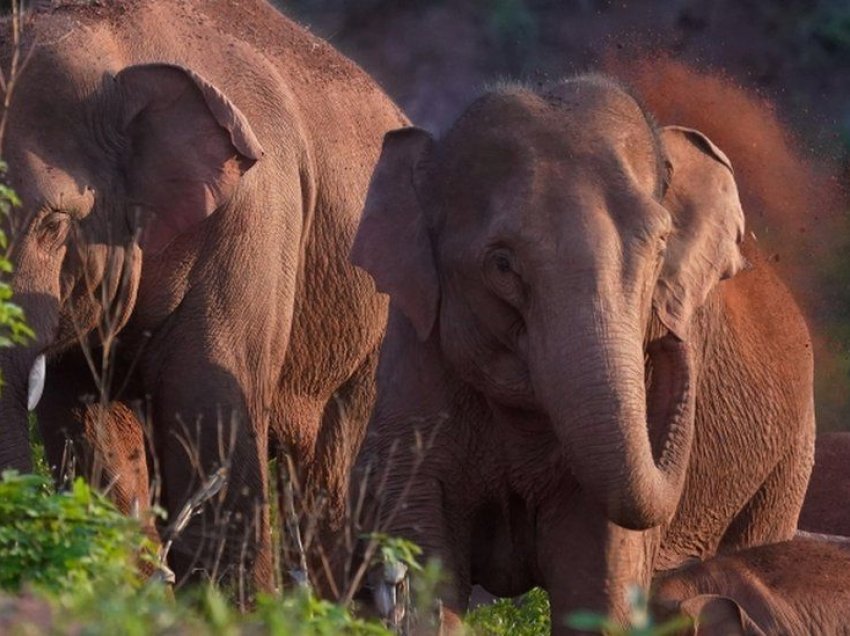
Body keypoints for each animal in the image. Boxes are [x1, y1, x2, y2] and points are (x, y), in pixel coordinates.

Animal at [0, 0, 406, 596]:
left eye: (54, 224)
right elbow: (91, 426)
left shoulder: (250, 221)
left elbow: (209, 409)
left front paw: (237, 607)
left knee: (335, 476)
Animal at [348, 74, 812, 632]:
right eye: (501, 264)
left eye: (660, 247)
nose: (671, 335)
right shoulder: (414, 367)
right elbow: (424, 561)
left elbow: (598, 576)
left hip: (787, 463)